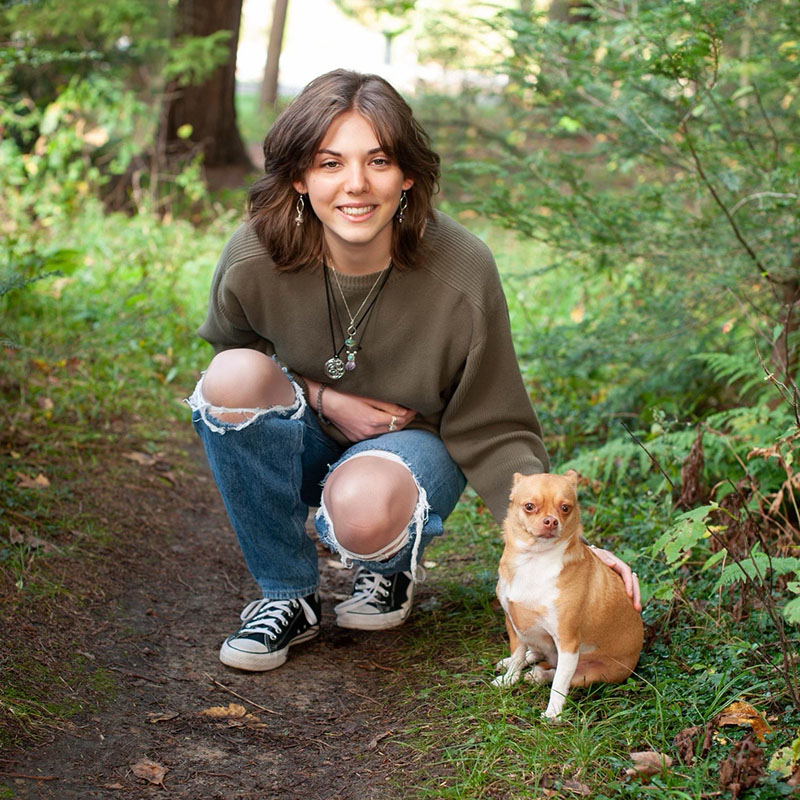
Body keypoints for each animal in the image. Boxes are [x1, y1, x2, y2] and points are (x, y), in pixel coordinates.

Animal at [494, 472, 644, 720]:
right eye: (529, 506)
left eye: (565, 508)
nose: (551, 521)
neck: (534, 561)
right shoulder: (513, 624)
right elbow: (516, 655)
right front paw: (508, 679)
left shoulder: (567, 642)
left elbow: (559, 684)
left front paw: (552, 714)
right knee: (533, 652)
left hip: (591, 673)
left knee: (560, 674)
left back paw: (538, 675)